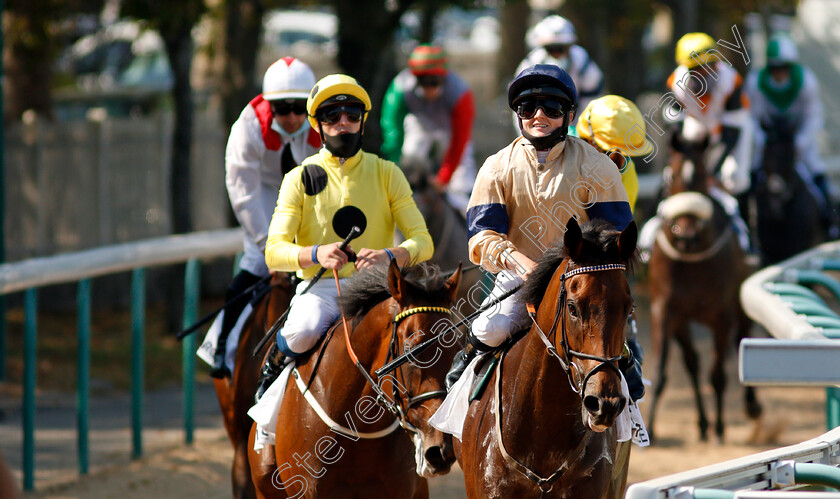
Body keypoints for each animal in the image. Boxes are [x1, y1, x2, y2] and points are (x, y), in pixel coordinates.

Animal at [648, 119, 764, 444]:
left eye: (700, 175)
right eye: (671, 174)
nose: (686, 235)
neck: (691, 260)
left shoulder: (721, 315)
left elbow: (719, 374)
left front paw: (722, 427)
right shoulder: (665, 310)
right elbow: (661, 371)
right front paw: (648, 429)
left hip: (741, 306)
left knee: (741, 343)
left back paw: (749, 409)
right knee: (692, 362)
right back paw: (701, 423)